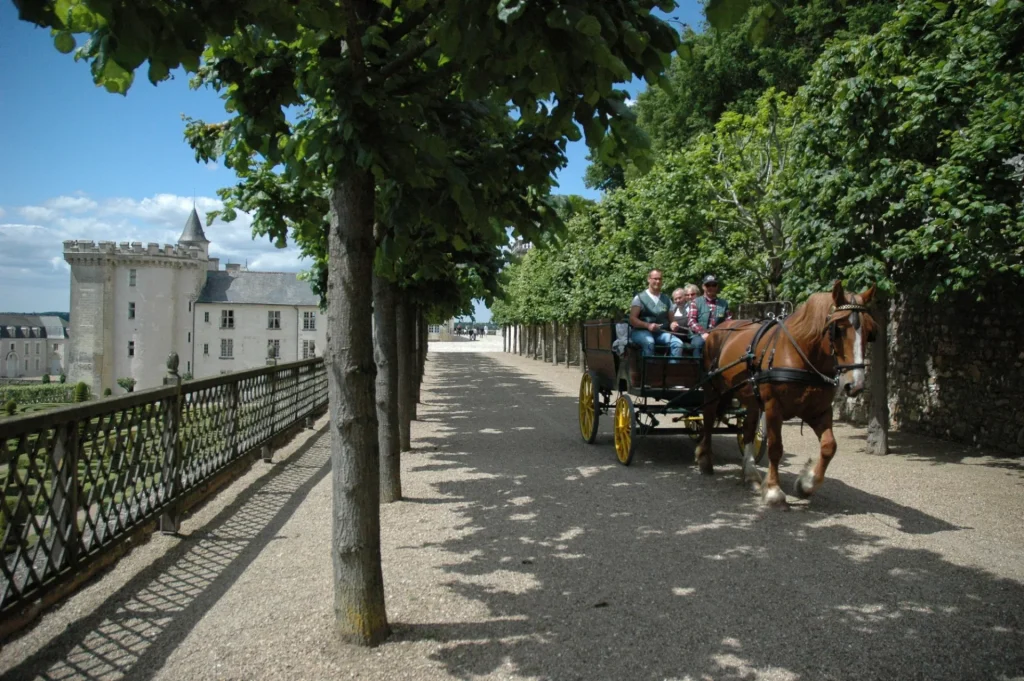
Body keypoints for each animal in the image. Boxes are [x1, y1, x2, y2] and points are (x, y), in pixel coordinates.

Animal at [700, 280, 876, 503]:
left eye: (870, 332)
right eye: (839, 329)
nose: (856, 385)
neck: (800, 354)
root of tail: (718, 329)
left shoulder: (818, 410)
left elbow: (829, 446)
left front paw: (807, 484)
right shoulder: (774, 407)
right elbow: (776, 448)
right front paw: (773, 490)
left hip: (751, 398)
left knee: (748, 430)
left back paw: (750, 474)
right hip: (712, 390)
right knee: (707, 419)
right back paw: (705, 461)